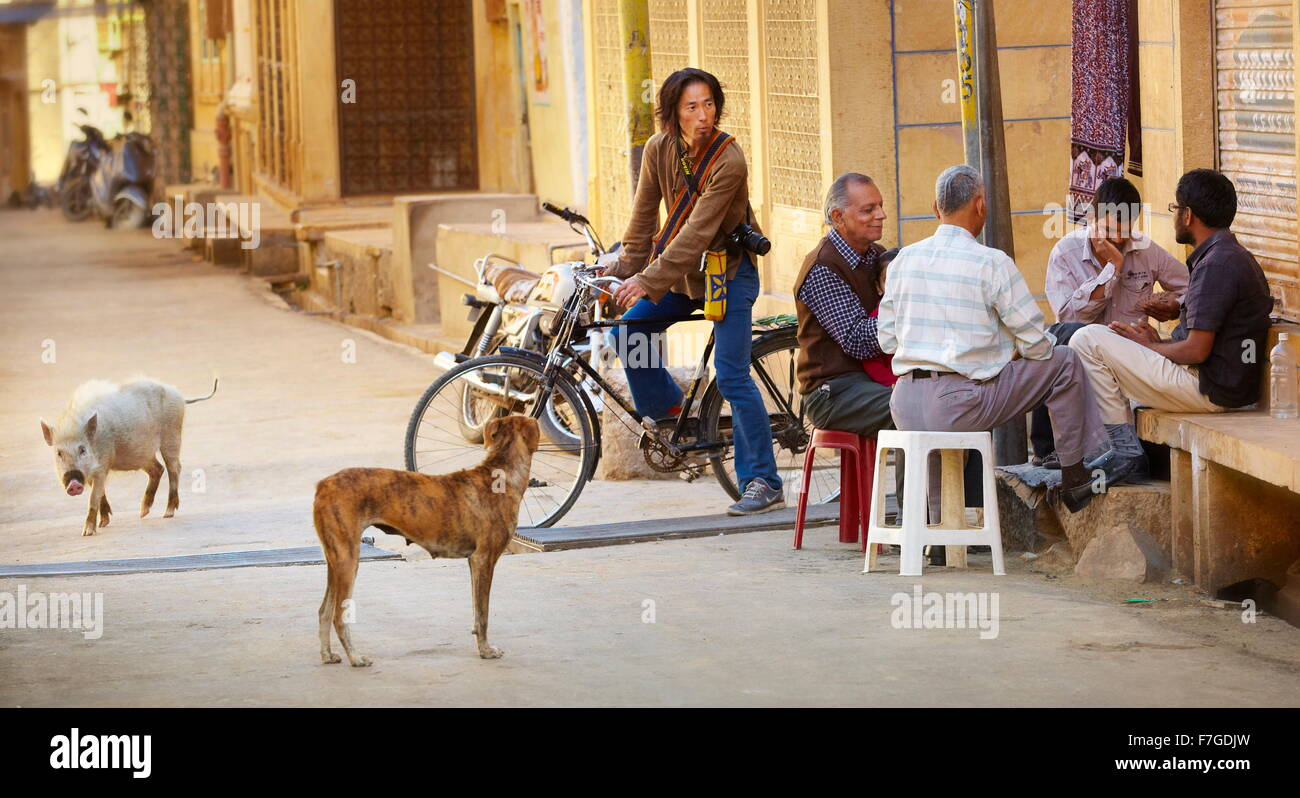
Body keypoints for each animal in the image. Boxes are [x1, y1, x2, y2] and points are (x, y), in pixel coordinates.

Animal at [38, 379, 217, 538]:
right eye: (59, 453)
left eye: (82, 449)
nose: (73, 483)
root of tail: (179, 394)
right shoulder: (88, 473)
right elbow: (100, 493)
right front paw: (103, 524)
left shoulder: (102, 463)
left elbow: (94, 497)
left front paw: (87, 533)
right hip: (143, 454)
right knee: (158, 469)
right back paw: (142, 513)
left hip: (172, 434)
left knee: (174, 468)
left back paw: (167, 513)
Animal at [314, 415, 538, 665]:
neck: (500, 475)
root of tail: (323, 485)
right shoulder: (484, 559)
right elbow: (483, 614)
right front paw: (486, 651)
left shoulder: (473, 562)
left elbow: (475, 610)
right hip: (348, 560)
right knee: (338, 616)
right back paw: (355, 658)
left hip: (335, 559)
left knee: (323, 611)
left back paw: (327, 654)